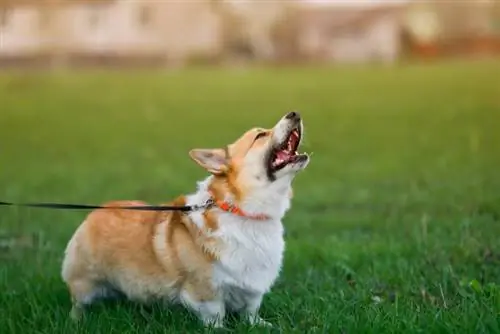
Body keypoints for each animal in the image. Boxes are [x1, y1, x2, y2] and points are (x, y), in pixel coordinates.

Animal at [61, 111, 308, 326]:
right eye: (260, 135)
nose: (294, 113)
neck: (242, 213)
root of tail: (97, 211)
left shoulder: (252, 290)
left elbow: (251, 311)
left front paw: (263, 325)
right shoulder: (205, 293)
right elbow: (215, 315)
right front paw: (221, 329)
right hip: (84, 281)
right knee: (78, 303)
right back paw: (77, 320)